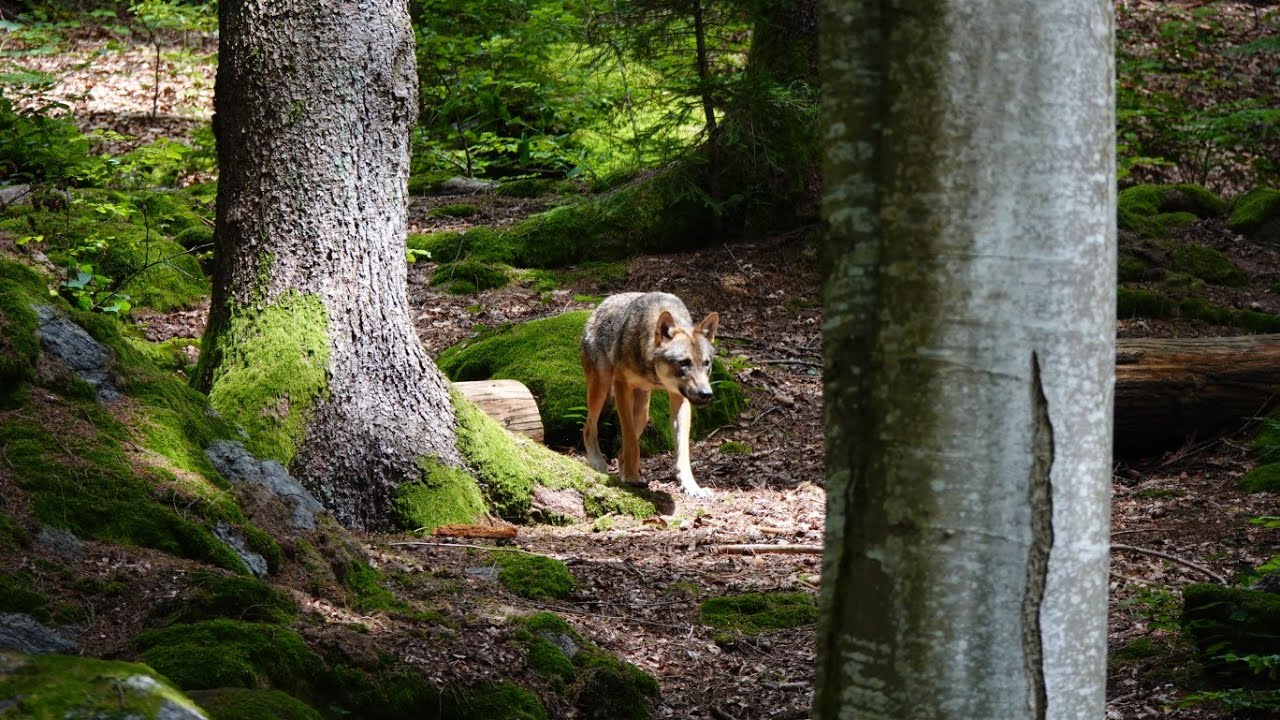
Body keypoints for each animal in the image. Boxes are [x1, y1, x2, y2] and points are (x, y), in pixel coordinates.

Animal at [580, 292, 720, 498]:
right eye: (684, 363)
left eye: (706, 363)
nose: (706, 394)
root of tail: (601, 304)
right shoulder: (621, 385)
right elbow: (630, 440)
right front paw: (631, 477)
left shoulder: (680, 398)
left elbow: (683, 450)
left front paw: (691, 486)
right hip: (602, 386)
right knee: (589, 427)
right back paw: (599, 464)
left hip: (643, 414)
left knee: (620, 450)